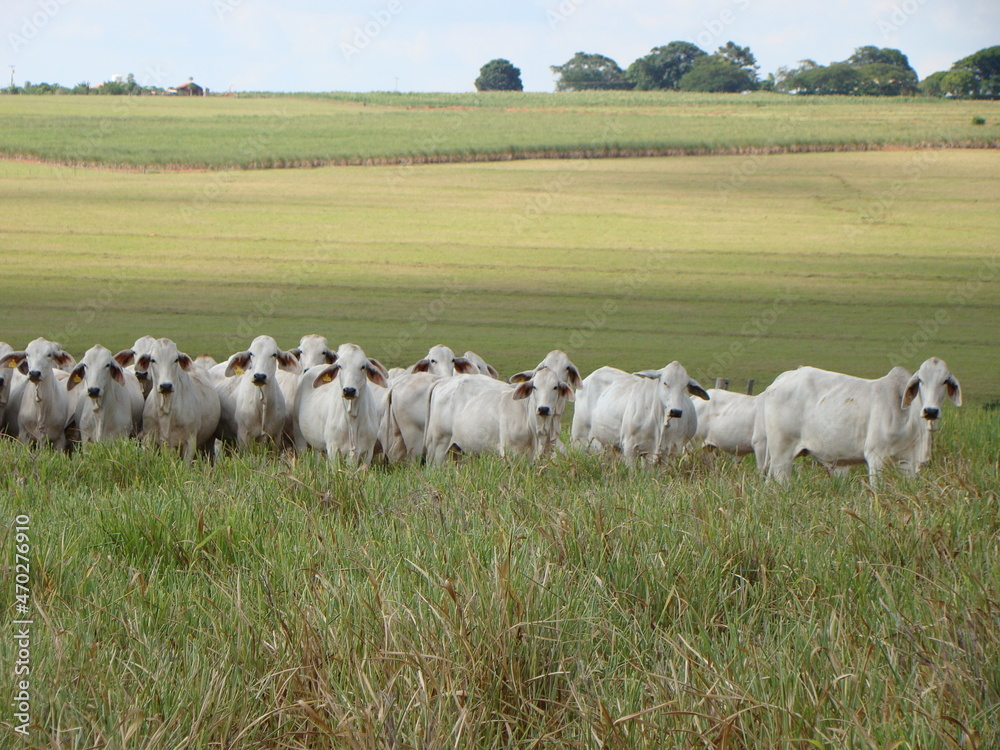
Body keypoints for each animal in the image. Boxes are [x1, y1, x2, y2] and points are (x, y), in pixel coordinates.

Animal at [424, 366, 575, 465]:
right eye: (534, 386)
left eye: (555, 387)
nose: (543, 409)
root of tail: (442, 381)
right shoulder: (511, 454)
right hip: (437, 446)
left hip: (456, 449)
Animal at [572, 361, 709, 465]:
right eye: (665, 382)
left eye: (684, 386)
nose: (676, 411)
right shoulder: (629, 447)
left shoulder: (666, 450)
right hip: (579, 437)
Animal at [754, 357, 961, 481]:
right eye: (921, 381)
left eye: (945, 381)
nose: (931, 411)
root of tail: (781, 379)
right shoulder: (876, 456)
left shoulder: (908, 462)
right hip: (782, 453)